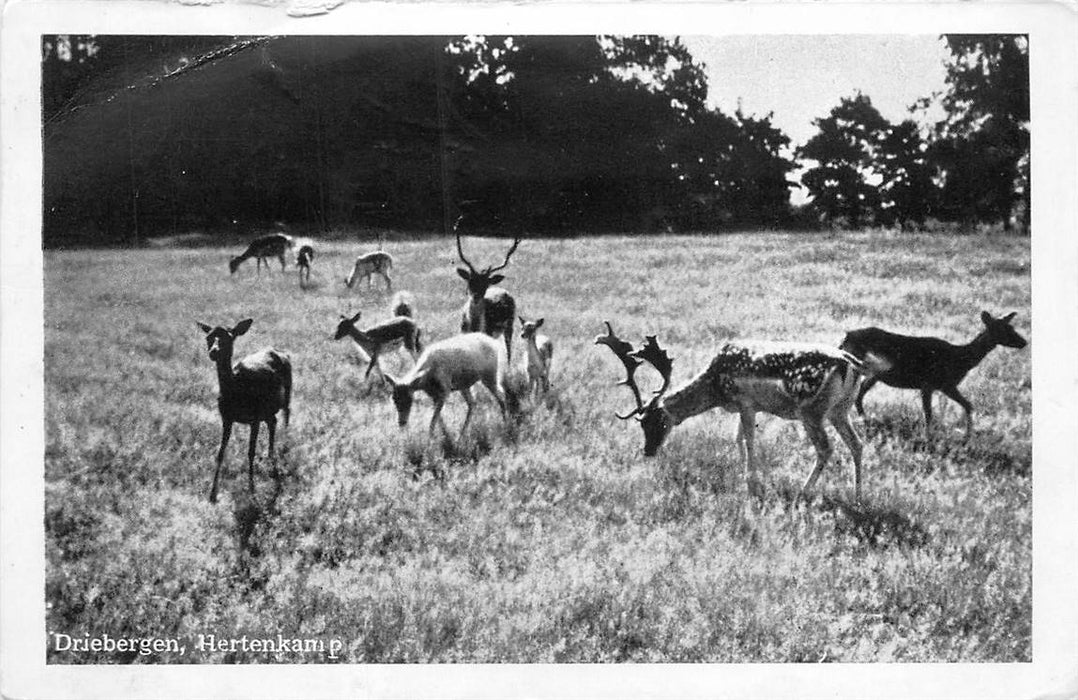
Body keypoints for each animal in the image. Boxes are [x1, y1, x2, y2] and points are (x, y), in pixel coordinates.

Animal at [196, 317, 291, 502]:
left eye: (229, 337)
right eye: (208, 337)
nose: (214, 352)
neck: (237, 391)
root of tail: (282, 352)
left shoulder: (254, 419)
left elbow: (250, 452)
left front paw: (252, 490)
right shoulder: (226, 417)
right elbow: (220, 452)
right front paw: (212, 493)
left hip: (287, 390)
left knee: (287, 413)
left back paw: (284, 444)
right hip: (267, 409)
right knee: (273, 421)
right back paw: (270, 455)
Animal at [454, 231, 521, 360]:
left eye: (485, 285)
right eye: (470, 282)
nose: (476, 296)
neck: (474, 326)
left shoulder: (488, 333)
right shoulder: (462, 331)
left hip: (510, 324)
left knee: (508, 350)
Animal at [599, 321, 866, 496]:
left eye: (657, 422)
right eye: (641, 424)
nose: (648, 451)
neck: (716, 387)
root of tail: (850, 364)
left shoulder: (746, 402)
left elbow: (749, 439)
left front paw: (752, 483)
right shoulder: (744, 407)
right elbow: (737, 437)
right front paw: (742, 473)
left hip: (811, 411)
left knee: (826, 448)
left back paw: (803, 491)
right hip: (840, 410)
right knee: (857, 444)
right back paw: (858, 496)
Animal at [840, 310, 1026, 440]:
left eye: (1012, 327)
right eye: (1003, 329)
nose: (1024, 342)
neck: (960, 358)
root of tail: (845, 337)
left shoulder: (945, 386)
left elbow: (968, 405)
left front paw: (967, 437)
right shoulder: (930, 384)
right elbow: (929, 413)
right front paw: (928, 438)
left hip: (873, 375)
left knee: (860, 394)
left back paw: (865, 420)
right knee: (855, 394)